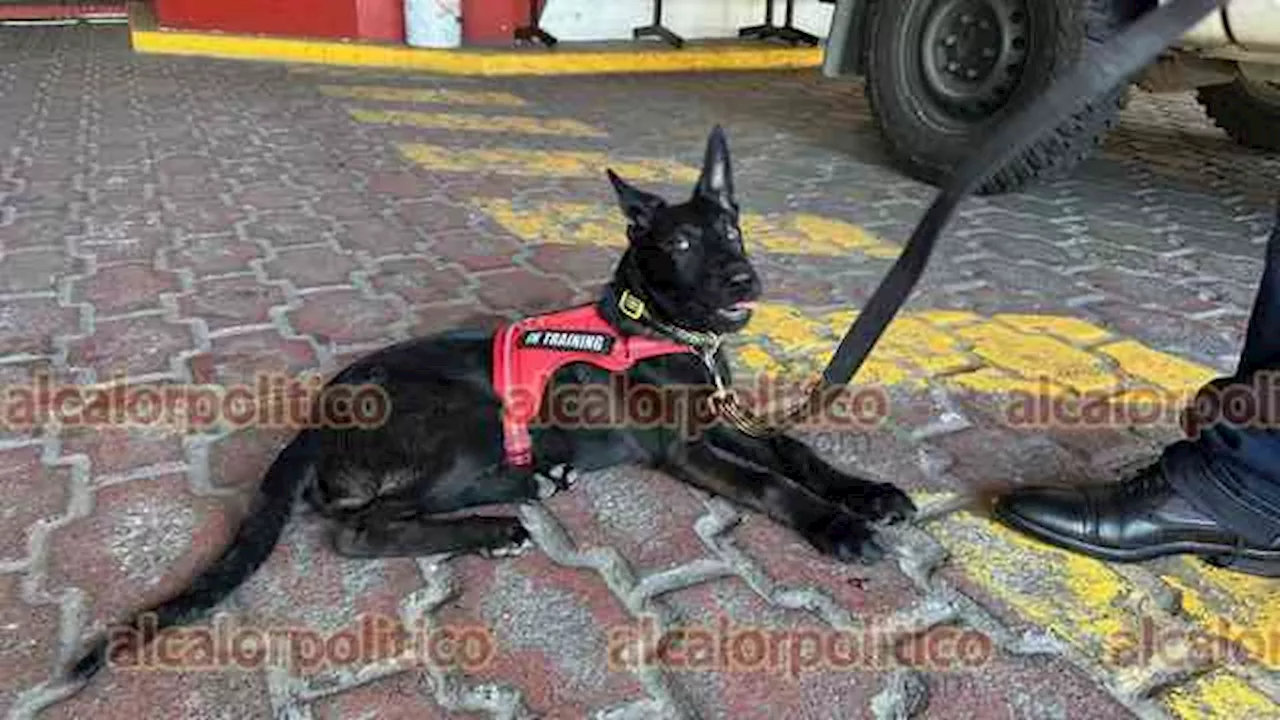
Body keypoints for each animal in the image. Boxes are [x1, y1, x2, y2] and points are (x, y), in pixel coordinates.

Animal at [64, 126, 916, 681]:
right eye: (677, 244)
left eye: (731, 228)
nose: (745, 279)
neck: (662, 330)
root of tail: (314, 421)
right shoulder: (688, 448)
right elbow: (772, 482)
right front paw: (838, 526)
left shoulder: (721, 417)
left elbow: (795, 448)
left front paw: (867, 492)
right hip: (465, 421)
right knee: (362, 529)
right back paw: (497, 522)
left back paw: (529, 484)